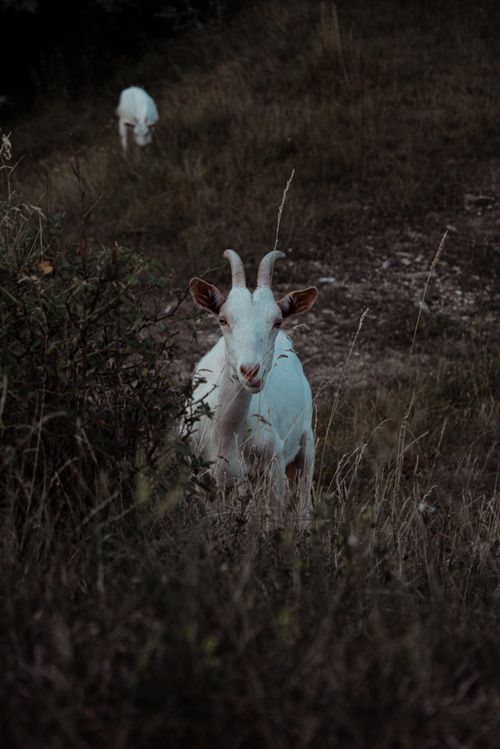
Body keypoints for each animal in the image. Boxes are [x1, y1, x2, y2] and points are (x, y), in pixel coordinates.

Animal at [187, 249, 318, 528]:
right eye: (223, 319)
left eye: (277, 321)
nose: (250, 371)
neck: (225, 435)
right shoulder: (201, 478)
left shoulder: (273, 466)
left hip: (307, 443)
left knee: (303, 501)